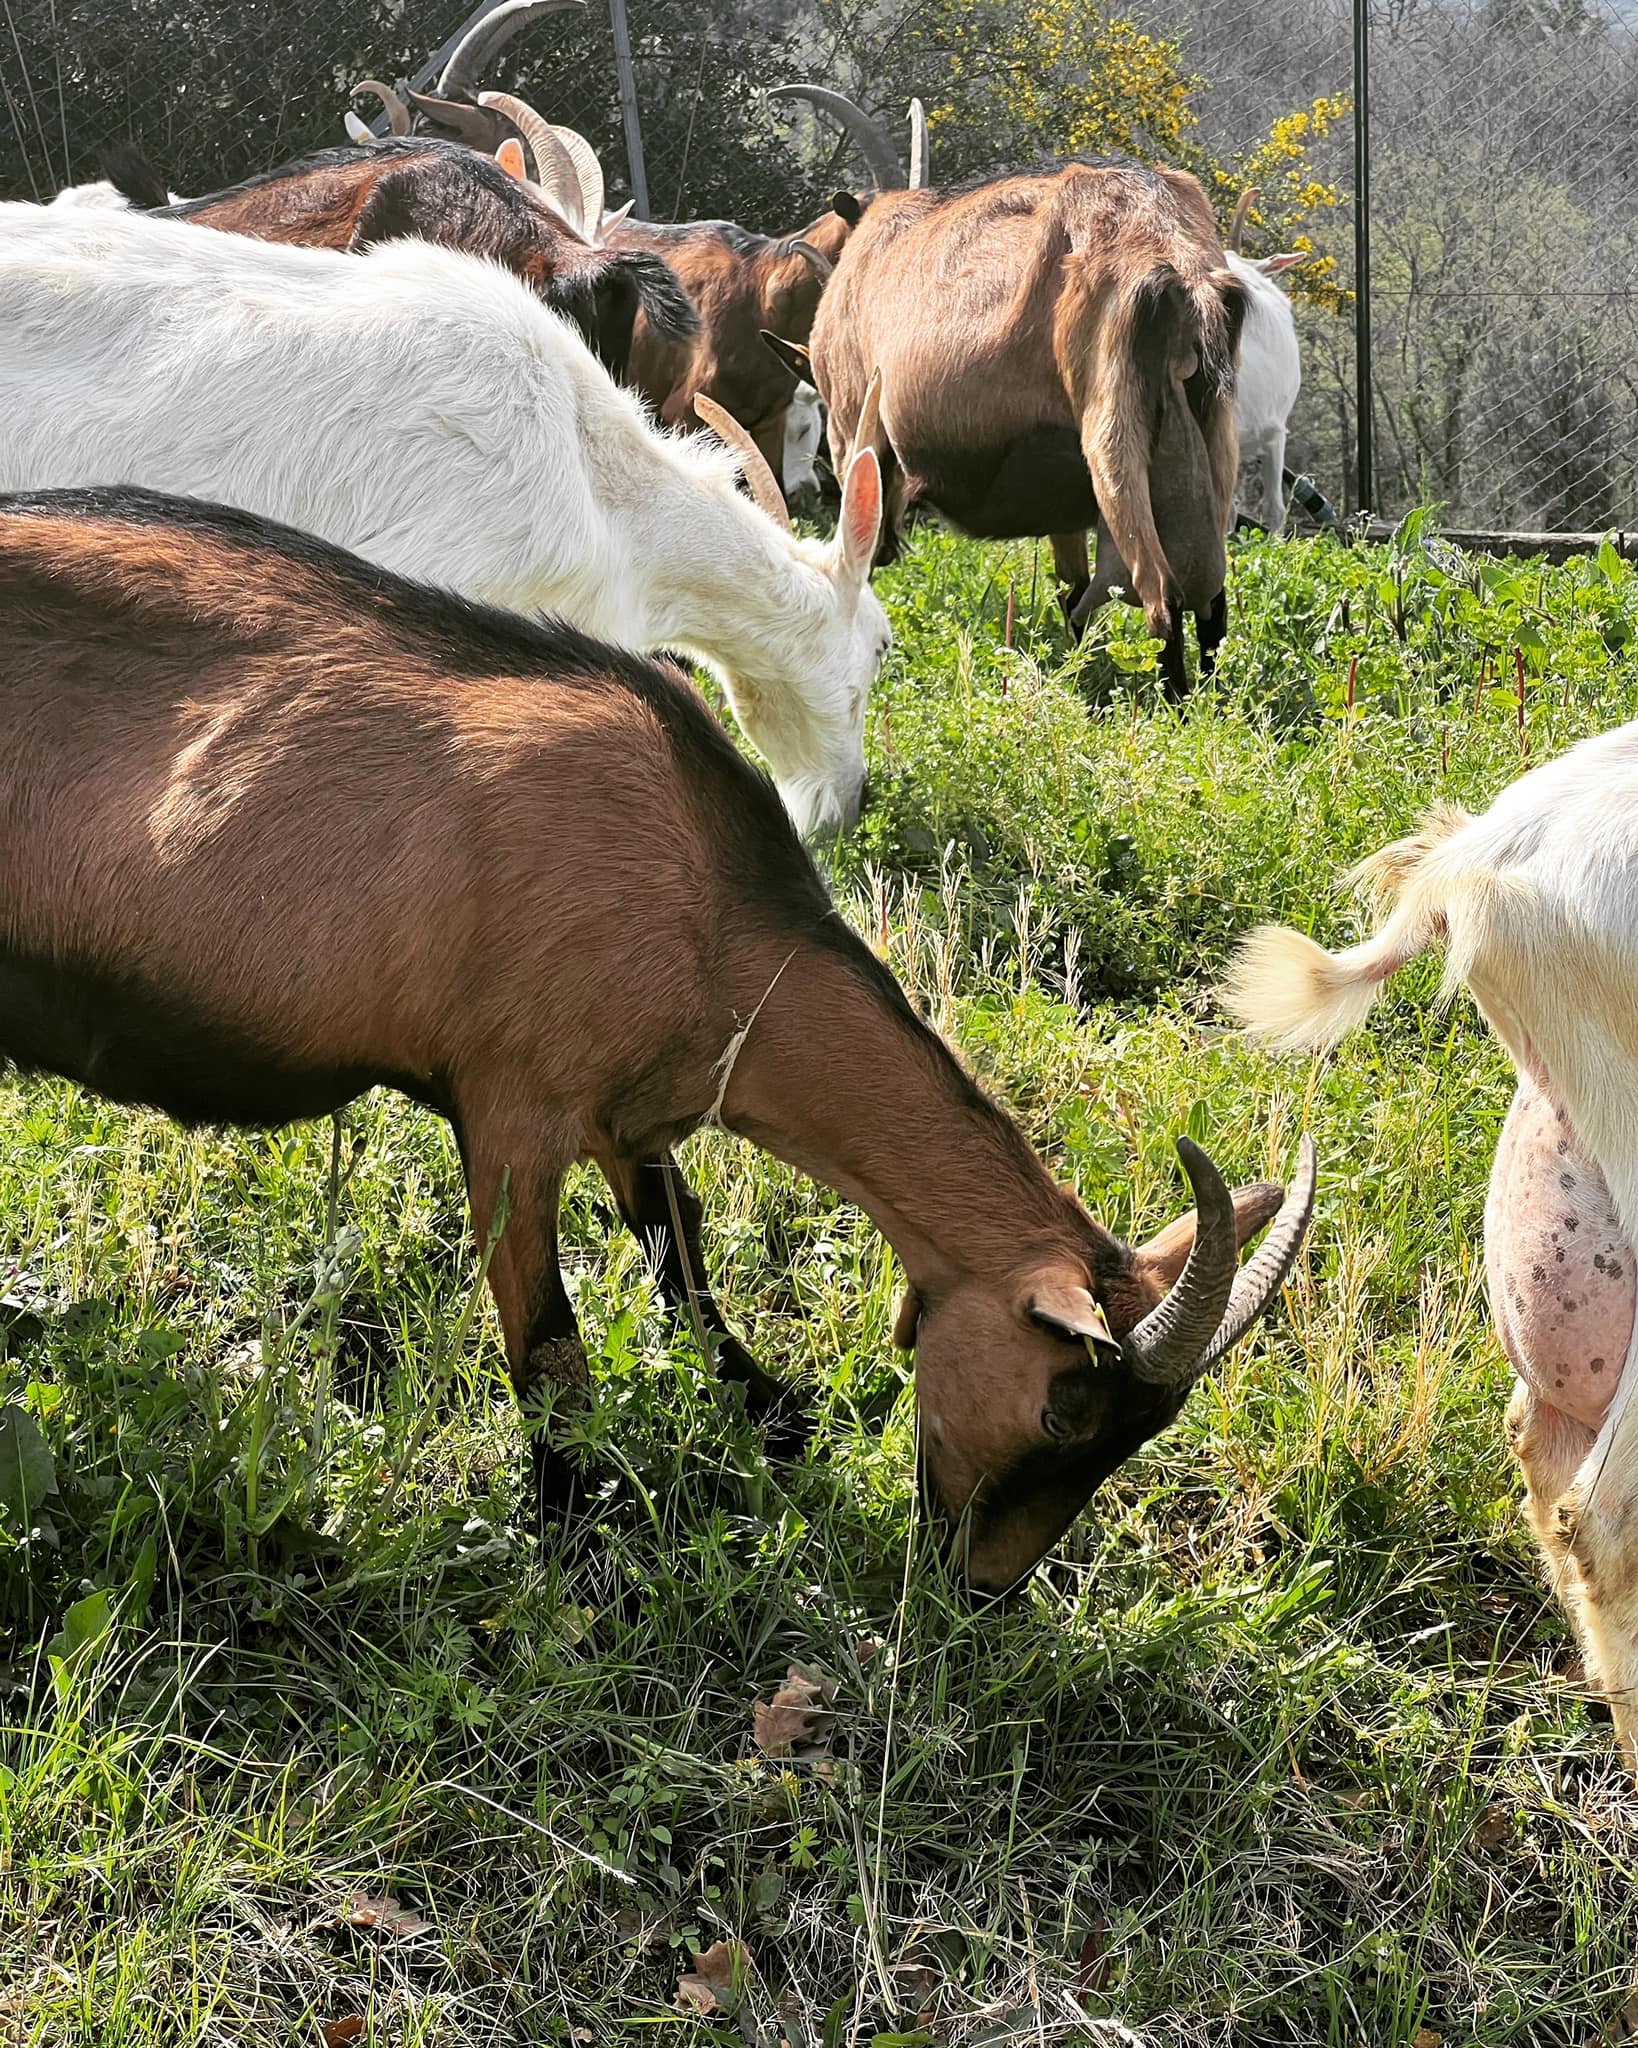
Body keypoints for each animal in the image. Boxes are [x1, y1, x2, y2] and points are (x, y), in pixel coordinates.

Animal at [0, 487, 1302, 1589]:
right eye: (1063, 1409)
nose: (981, 1585)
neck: (708, 906)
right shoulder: (509, 1111)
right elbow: (550, 1344)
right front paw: (579, 1540)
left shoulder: (638, 1109)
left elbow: (683, 1254)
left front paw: (769, 1407)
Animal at [794, 94, 1244, 696]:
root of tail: (1170, 253)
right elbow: (1070, 586)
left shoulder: (852, 422)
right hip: (1211, 418)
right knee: (1209, 595)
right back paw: (1210, 697)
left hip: (1111, 423)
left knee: (1159, 587)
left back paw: (1174, 701)